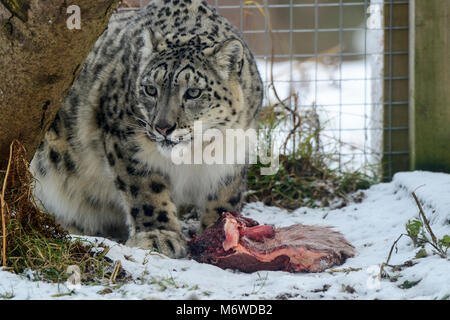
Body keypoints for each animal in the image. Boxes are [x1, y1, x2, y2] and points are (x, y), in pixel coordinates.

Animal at [30, 0, 264, 258]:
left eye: (193, 92)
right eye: (151, 89)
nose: (163, 127)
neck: (193, 155)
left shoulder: (233, 152)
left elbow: (225, 195)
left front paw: (219, 229)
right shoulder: (127, 141)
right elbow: (146, 190)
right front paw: (159, 236)